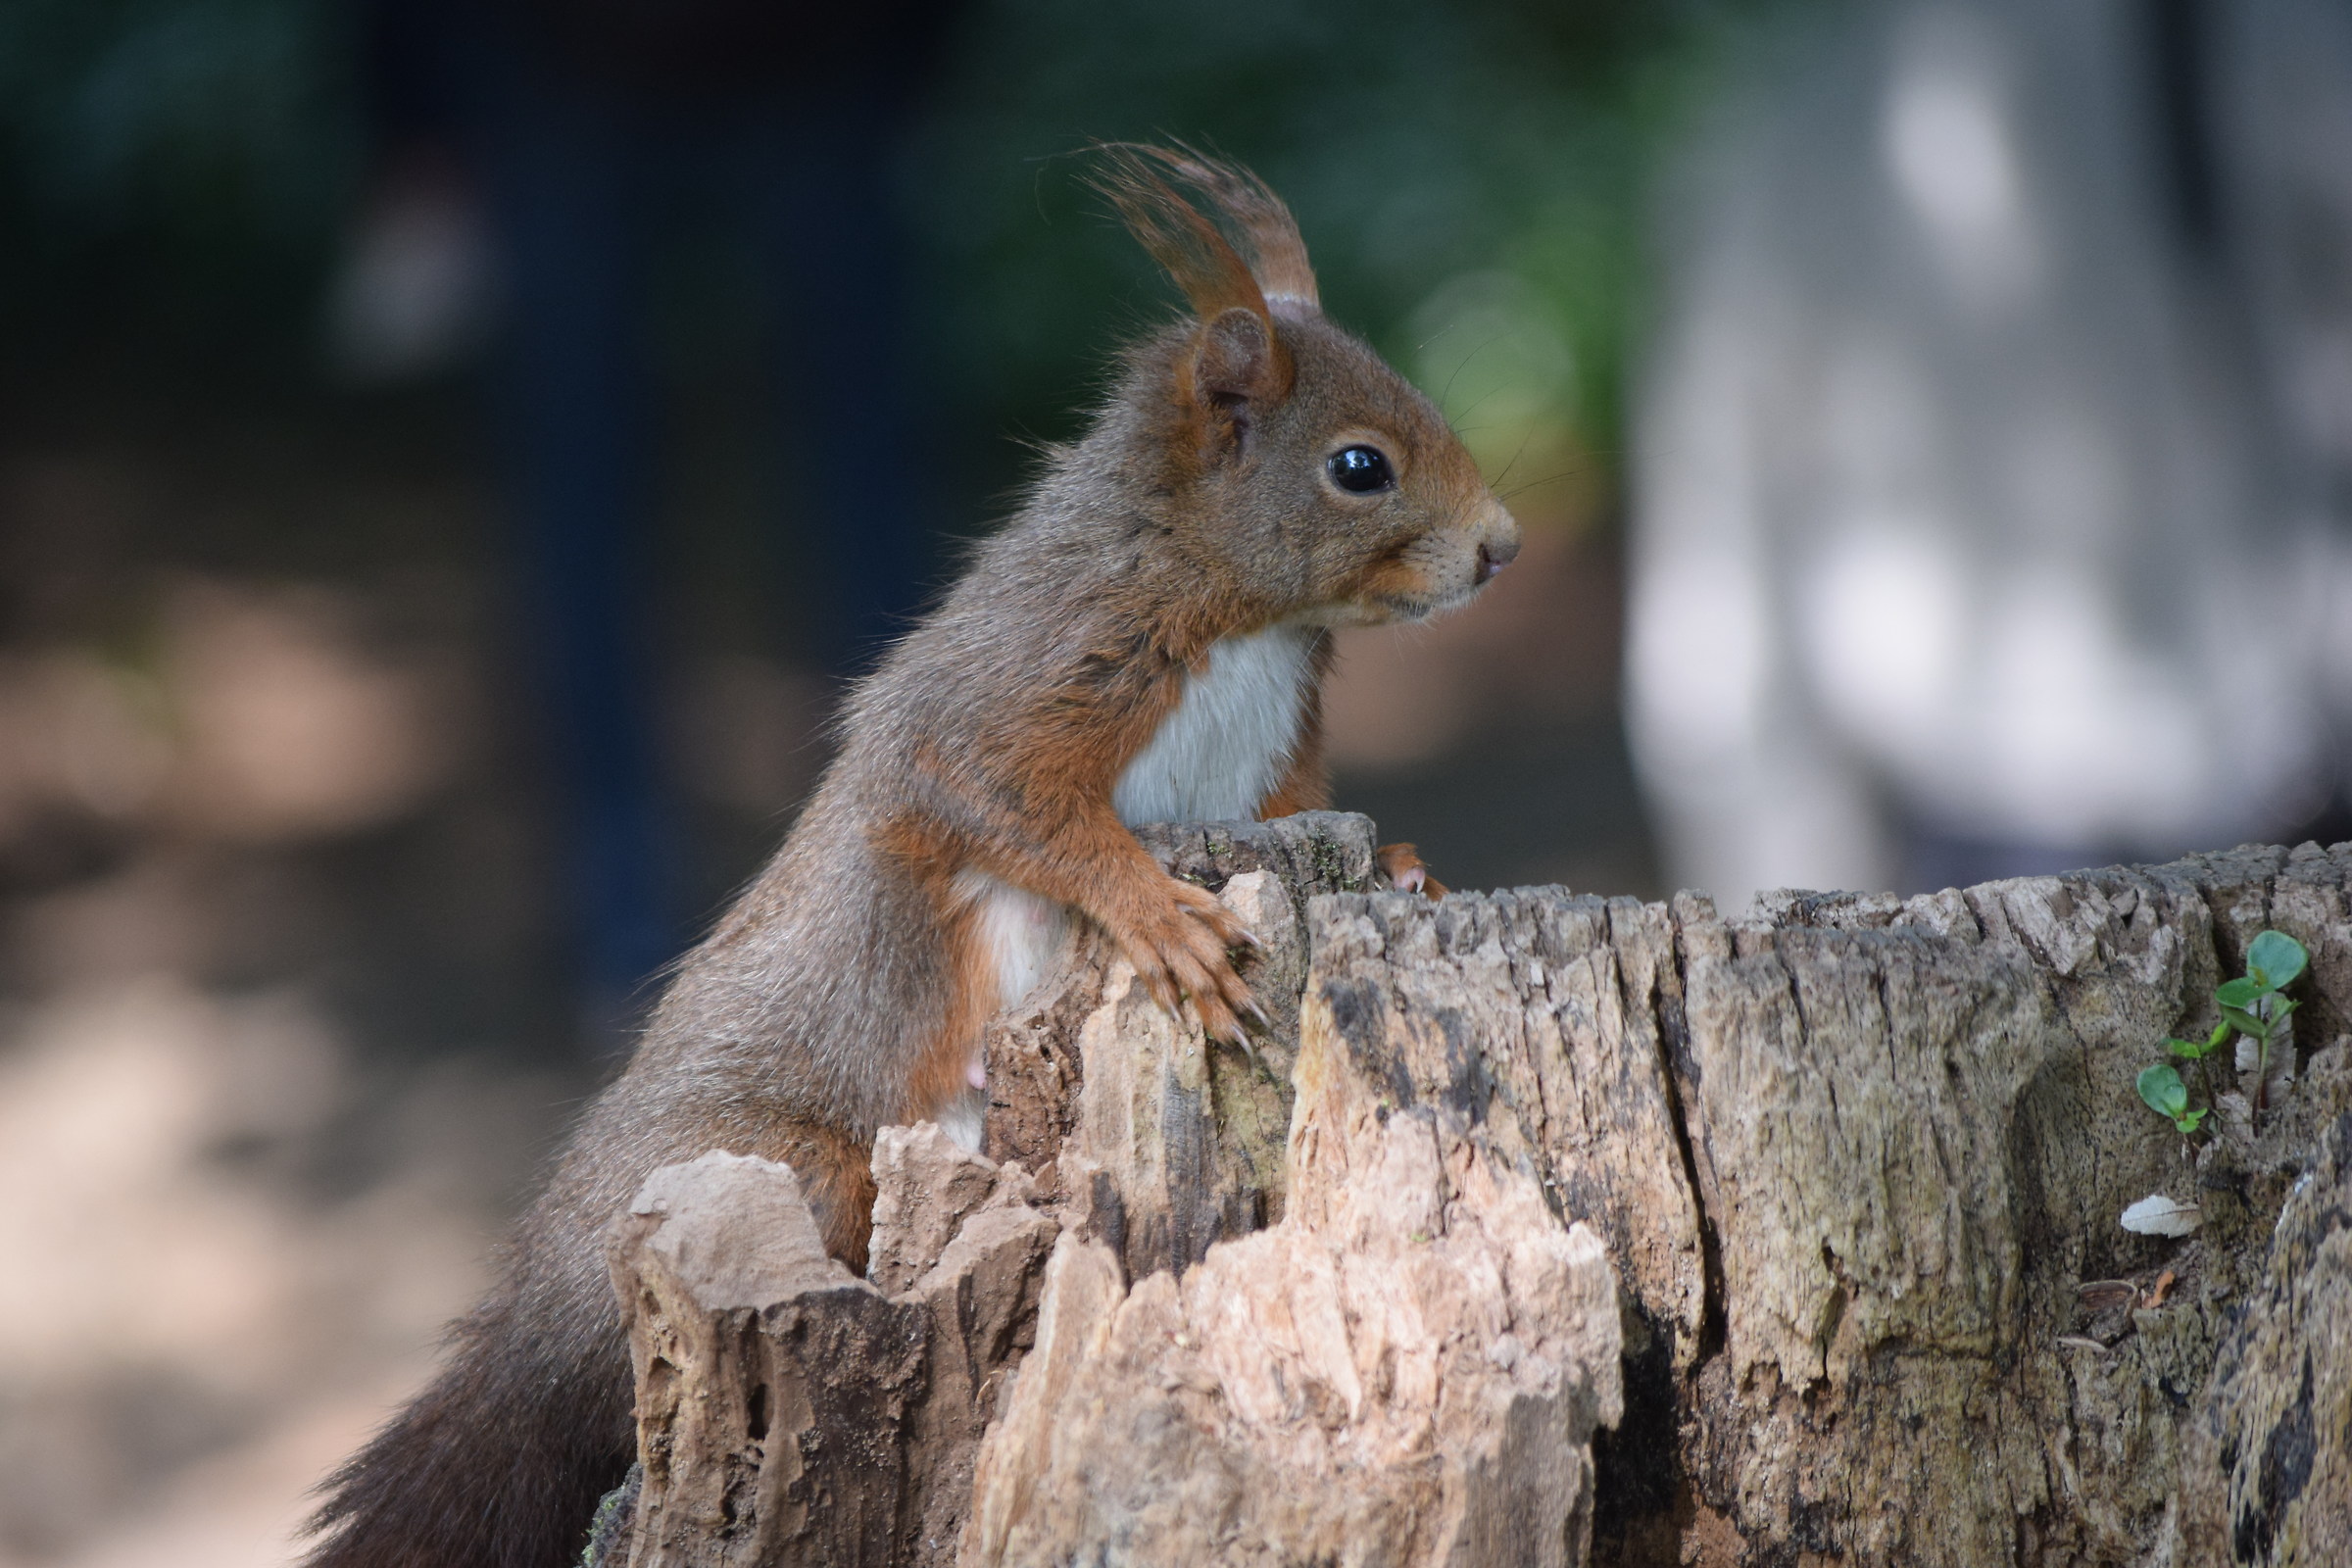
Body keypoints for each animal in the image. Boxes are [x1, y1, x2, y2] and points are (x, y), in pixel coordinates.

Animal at [304, 145, 1519, 1568]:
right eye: (1358, 466)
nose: (1500, 547)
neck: (1246, 617)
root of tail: (541, 1298)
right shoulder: (1008, 686)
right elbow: (1003, 801)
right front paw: (1159, 918)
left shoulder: (1277, 773)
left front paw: (1411, 866)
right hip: (787, 1167)